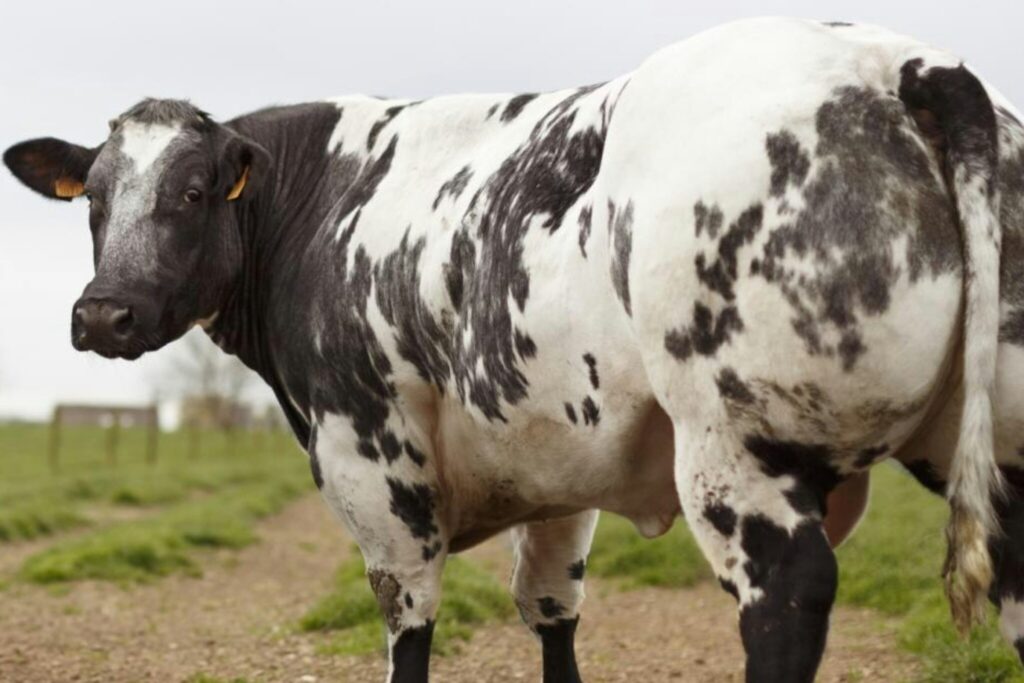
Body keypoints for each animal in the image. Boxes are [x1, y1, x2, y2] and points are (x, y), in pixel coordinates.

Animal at [4, 17, 1019, 683]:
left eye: (192, 192)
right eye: (94, 199)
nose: (102, 315)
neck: (322, 200)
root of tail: (902, 59)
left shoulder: (376, 466)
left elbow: (410, 623)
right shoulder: (558, 469)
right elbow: (550, 610)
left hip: (739, 450)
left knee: (787, 600)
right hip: (996, 446)